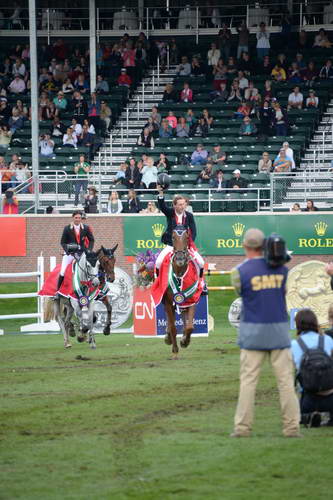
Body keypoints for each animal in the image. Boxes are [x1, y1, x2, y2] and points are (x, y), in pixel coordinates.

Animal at [163, 225, 201, 358]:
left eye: (187, 237)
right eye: (173, 237)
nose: (180, 259)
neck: (179, 273)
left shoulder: (192, 300)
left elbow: (190, 327)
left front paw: (185, 341)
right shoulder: (168, 302)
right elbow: (173, 327)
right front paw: (175, 350)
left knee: (185, 319)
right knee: (170, 320)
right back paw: (168, 337)